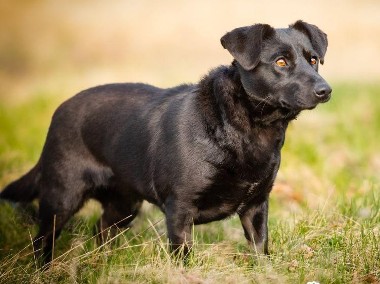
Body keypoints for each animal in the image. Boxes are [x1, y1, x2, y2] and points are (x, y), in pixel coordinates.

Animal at [0, 20, 330, 266]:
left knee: (101, 230)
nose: (325, 90)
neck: (247, 128)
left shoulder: (255, 206)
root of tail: (60, 109)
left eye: (313, 60)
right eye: (281, 61)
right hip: (62, 196)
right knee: (43, 239)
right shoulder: (180, 209)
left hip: (124, 204)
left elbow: (261, 250)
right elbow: (183, 256)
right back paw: (45, 269)